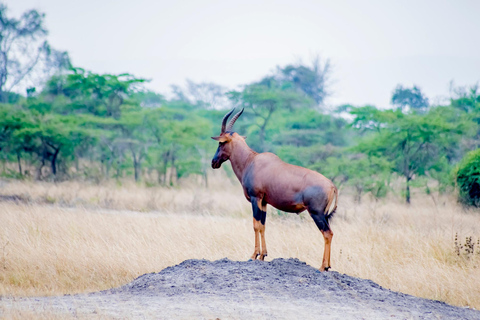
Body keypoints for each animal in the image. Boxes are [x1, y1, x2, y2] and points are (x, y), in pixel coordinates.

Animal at [210, 109, 338, 272]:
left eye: (221, 142)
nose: (214, 162)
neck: (251, 161)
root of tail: (332, 185)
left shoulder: (255, 198)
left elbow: (255, 225)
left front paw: (254, 255)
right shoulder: (264, 202)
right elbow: (263, 226)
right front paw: (263, 255)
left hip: (317, 213)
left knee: (327, 233)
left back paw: (323, 267)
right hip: (325, 215)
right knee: (329, 233)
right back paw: (327, 266)